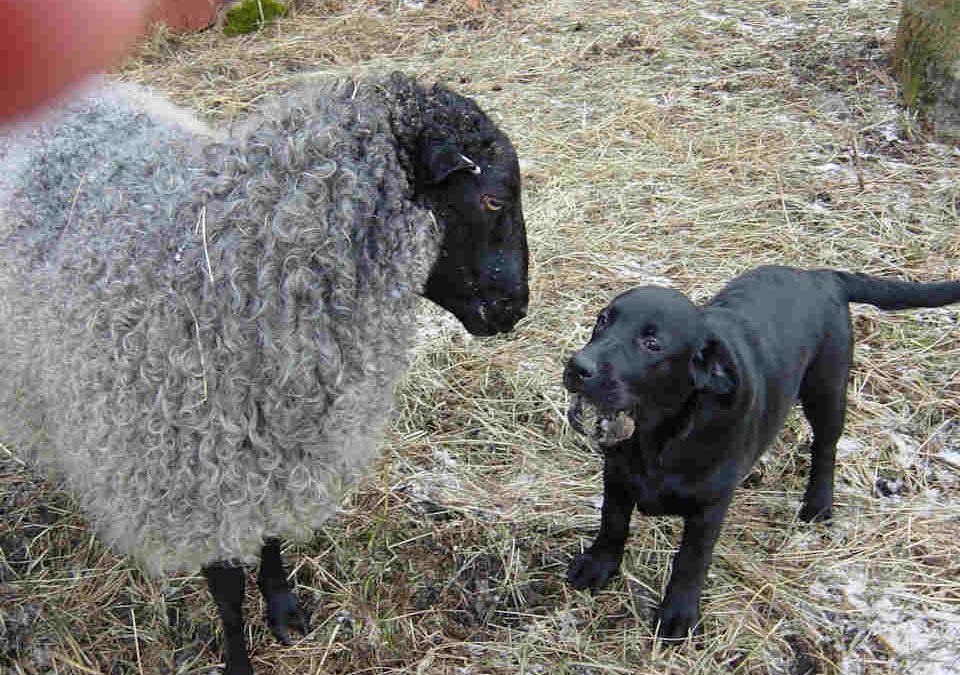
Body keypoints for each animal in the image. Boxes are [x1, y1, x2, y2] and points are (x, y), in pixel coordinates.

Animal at [0, 71, 524, 672]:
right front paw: (239, 658)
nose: (516, 306)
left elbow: (272, 537)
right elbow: (227, 590)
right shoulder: (199, 473)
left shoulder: (275, 444)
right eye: (492, 198)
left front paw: (283, 608)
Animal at [564, 262, 960, 640]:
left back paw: (818, 503)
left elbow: (692, 559)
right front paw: (599, 565)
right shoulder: (617, 473)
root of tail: (821, 276)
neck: (661, 434)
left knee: (826, 447)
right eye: (603, 320)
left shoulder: (710, 506)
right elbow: (613, 522)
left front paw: (679, 613)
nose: (577, 366)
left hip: (827, 387)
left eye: (652, 343)